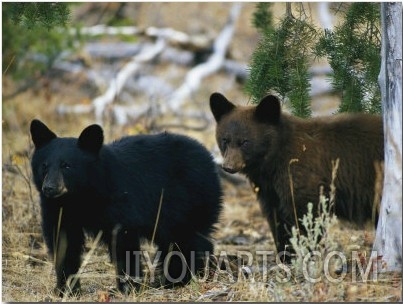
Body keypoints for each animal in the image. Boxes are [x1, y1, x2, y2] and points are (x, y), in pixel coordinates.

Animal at [30, 120, 223, 296]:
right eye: (44, 166)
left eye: (67, 165)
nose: (49, 188)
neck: (80, 197)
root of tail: (210, 159)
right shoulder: (58, 210)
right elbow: (63, 243)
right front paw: (66, 289)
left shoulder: (119, 202)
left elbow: (124, 243)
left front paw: (128, 287)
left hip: (187, 201)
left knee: (186, 239)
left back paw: (179, 280)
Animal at [211, 92, 386, 262]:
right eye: (225, 140)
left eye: (245, 142)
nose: (228, 166)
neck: (275, 158)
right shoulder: (269, 189)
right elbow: (276, 218)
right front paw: (286, 256)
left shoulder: (302, 177)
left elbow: (305, 214)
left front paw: (305, 253)